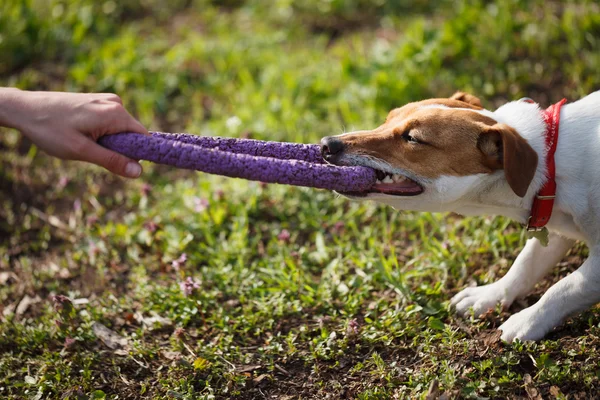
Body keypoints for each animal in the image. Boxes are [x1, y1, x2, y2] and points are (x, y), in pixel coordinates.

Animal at [322, 92, 600, 342]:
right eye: (387, 119)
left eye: (412, 138)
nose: (326, 143)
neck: (551, 163)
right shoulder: (553, 224)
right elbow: (525, 264)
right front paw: (488, 296)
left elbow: (566, 286)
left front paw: (525, 321)